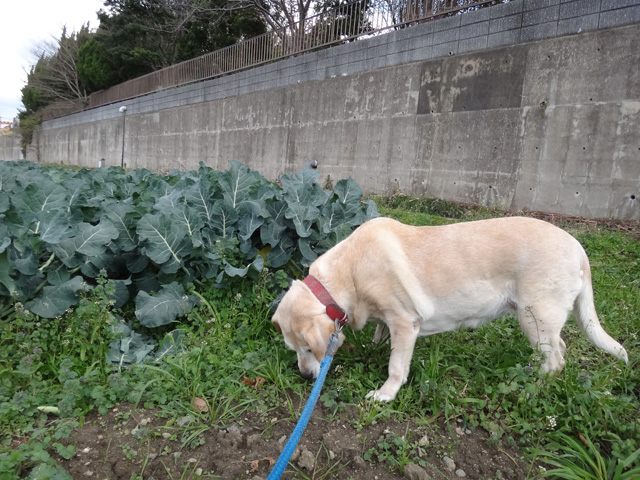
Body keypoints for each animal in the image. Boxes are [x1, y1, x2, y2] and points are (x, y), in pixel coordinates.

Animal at [272, 216, 628, 400]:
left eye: (309, 349)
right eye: (294, 349)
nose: (305, 376)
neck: (347, 275)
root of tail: (579, 247)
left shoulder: (405, 322)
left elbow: (396, 366)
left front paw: (385, 394)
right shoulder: (387, 319)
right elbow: (380, 334)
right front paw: (375, 346)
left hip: (534, 317)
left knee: (556, 359)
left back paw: (531, 389)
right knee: (558, 351)